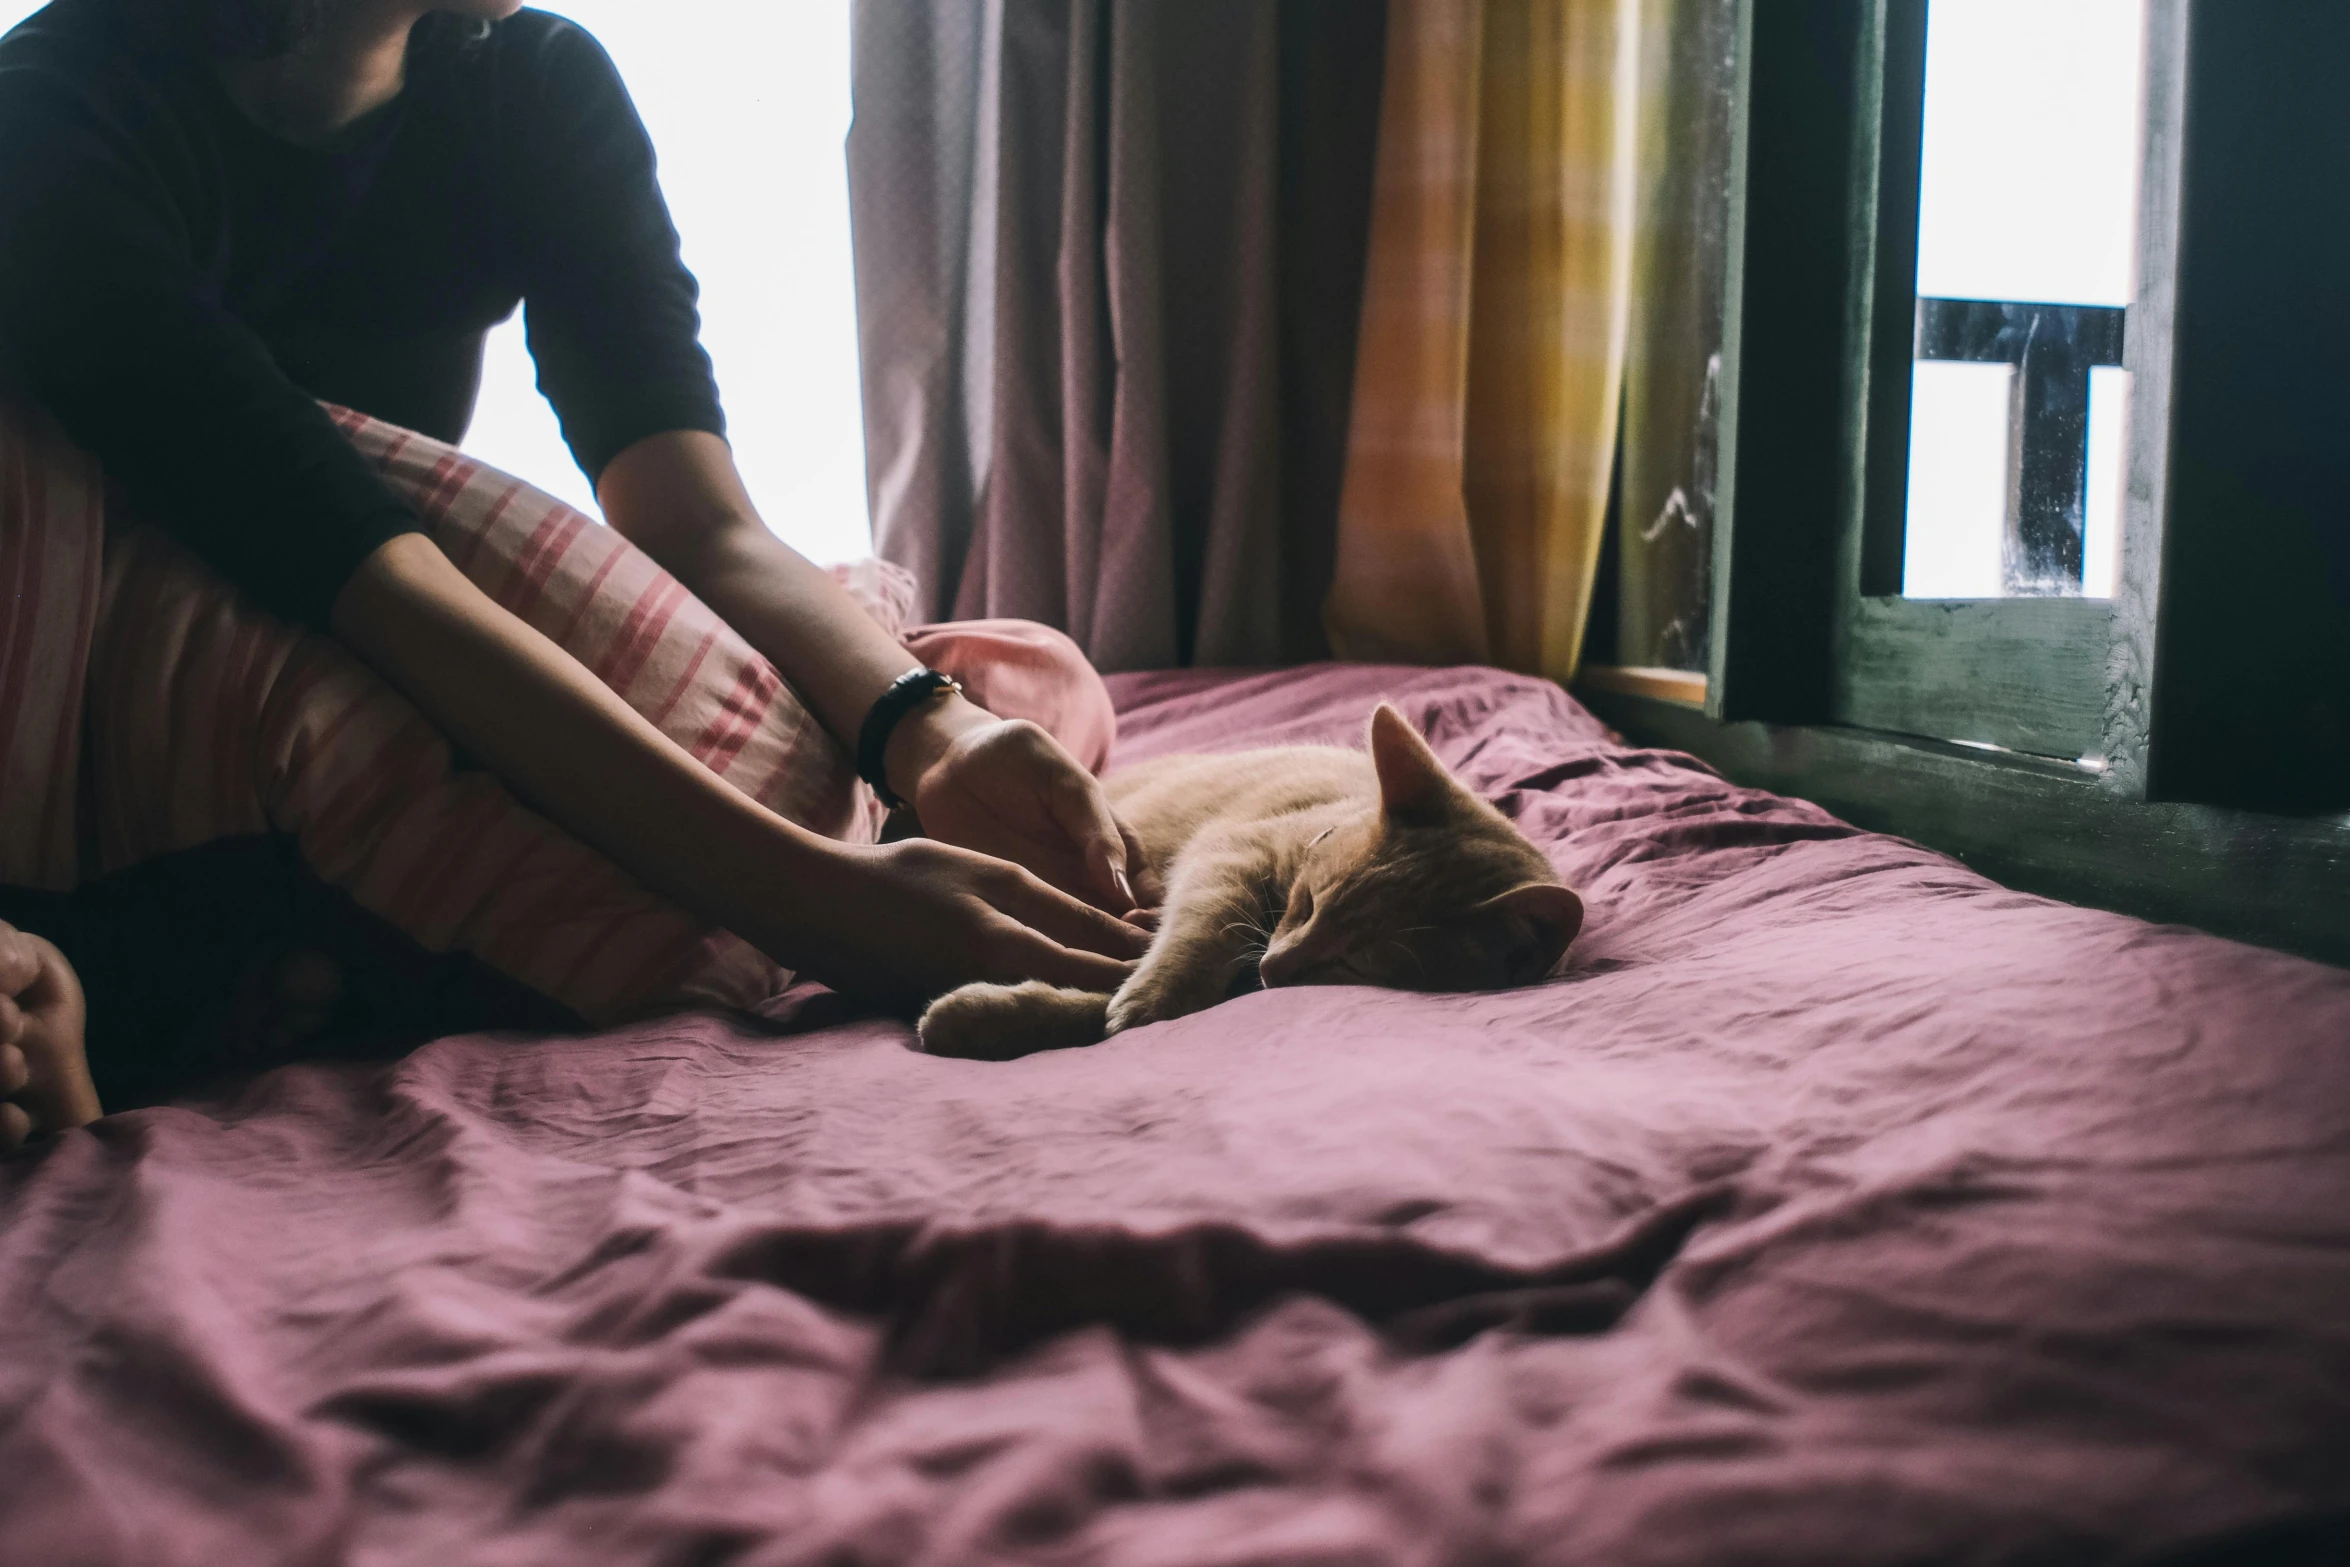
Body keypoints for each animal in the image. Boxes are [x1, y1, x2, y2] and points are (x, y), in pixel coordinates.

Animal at [916, 704, 1579, 1061]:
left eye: (1354, 965)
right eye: (1307, 903)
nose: (1273, 969)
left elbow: (1095, 1006)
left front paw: (990, 1015)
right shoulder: (1230, 852)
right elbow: (1202, 931)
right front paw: (1154, 995)